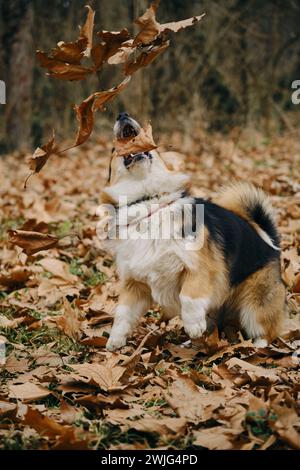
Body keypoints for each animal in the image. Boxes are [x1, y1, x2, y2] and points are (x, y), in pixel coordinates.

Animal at [99, 112, 284, 350]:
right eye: (113, 150)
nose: (122, 114)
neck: (148, 203)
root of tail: (273, 245)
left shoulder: (199, 267)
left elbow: (189, 297)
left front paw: (193, 324)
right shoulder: (135, 285)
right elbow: (122, 314)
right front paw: (114, 341)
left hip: (254, 305)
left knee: (267, 330)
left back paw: (256, 347)